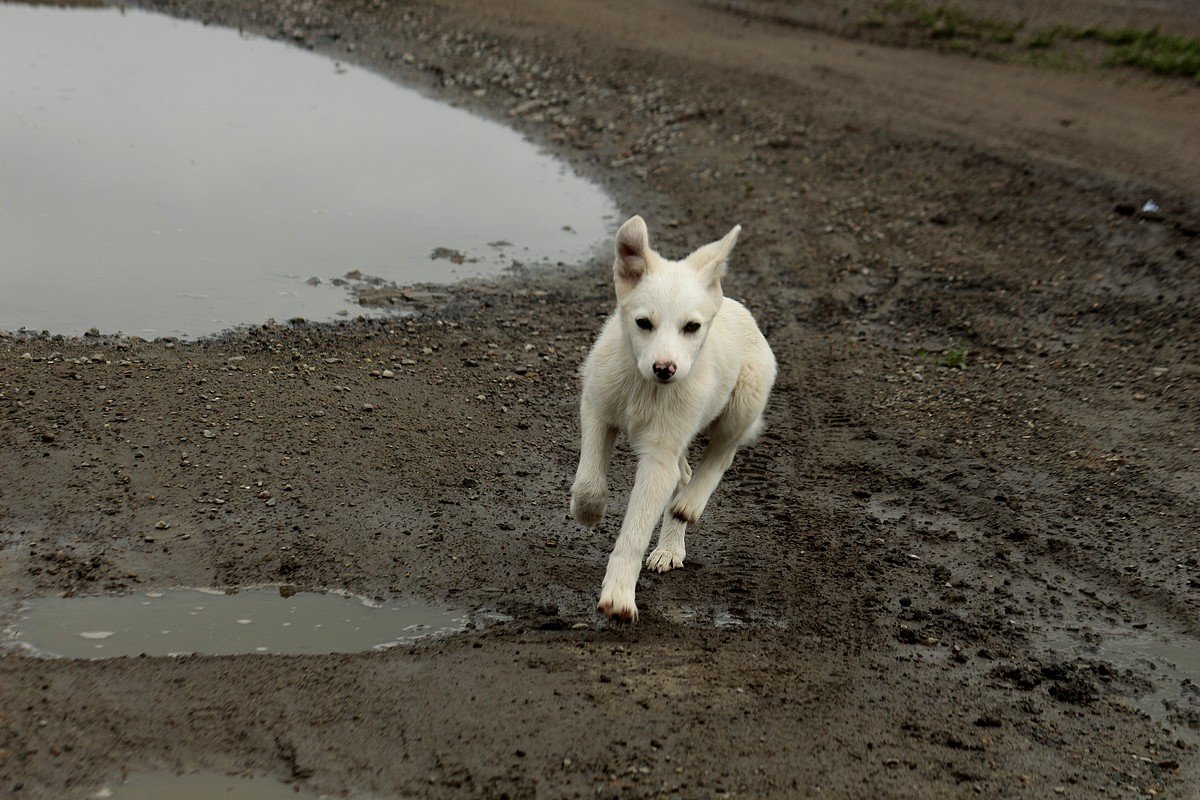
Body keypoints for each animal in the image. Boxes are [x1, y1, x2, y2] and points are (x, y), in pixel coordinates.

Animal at [571, 215, 777, 623]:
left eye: (691, 327)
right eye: (643, 323)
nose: (665, 369)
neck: (644, 385)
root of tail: (732, 303)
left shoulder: (659, 457)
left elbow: (635, 530)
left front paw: (618, 596)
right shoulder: (597, 409)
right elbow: (588, 481)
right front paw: (587, 511)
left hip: (744, 401)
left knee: (721, 453)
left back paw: (689, 504)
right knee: (684, 472)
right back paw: (670, 546)